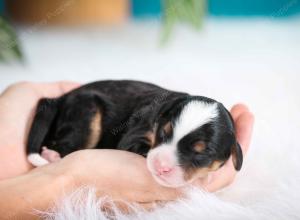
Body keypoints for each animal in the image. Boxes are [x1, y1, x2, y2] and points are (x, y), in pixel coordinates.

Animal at [26, 80, 241, 187]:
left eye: (201, 154)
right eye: (164, 132)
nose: (161, 166)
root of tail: (60, 98)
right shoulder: (134, 135)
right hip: (86, 114)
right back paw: (52, 155)